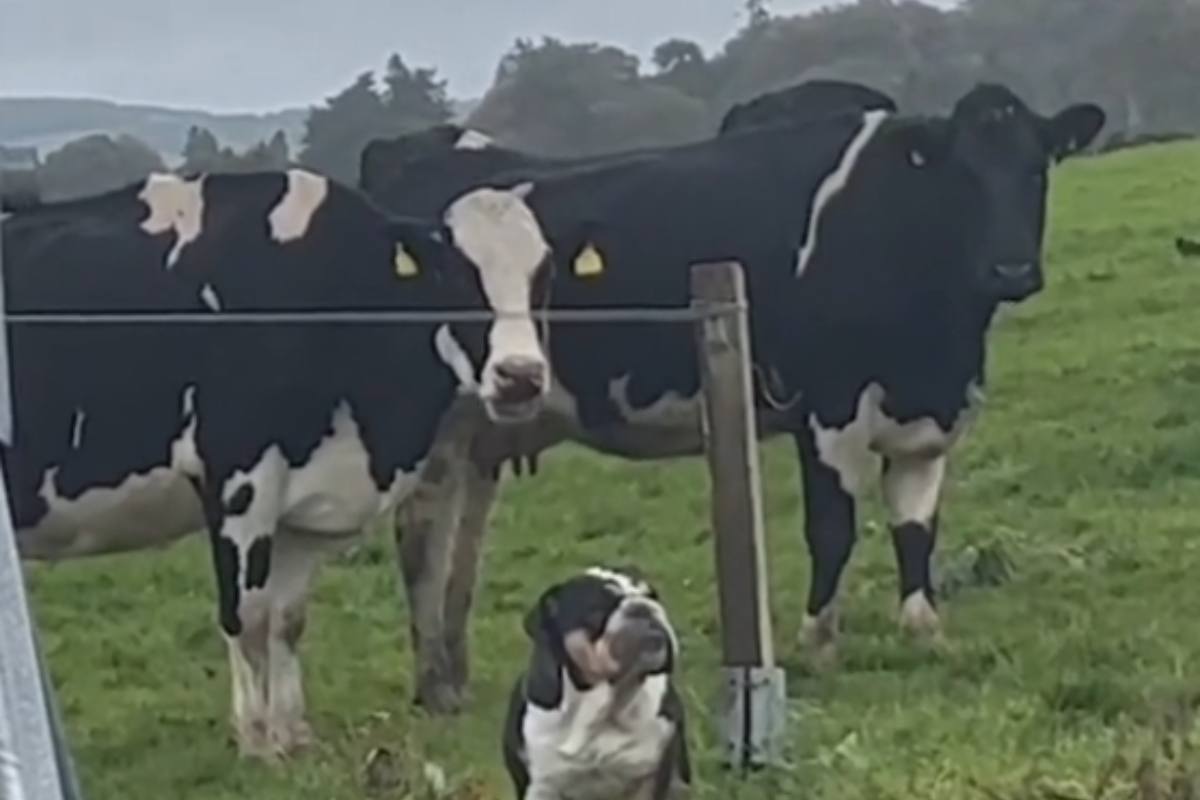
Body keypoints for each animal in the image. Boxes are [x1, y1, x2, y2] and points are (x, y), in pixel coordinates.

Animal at [0, 167, 552, 758]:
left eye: (540, 271)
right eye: (456, 274)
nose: (521, 376)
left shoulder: (305, 504)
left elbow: (287, 619)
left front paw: (293, 735)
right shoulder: (237, 481)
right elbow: (246, 617)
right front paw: (258, 741)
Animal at [362, 82, 1104, 714]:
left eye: (1036, 172)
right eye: (964, 179)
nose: (1012, 269)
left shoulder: (926, 422)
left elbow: (916, 532)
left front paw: (923, 633)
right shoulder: (827, 412)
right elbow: (831, 529)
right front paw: (817, 644)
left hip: (484, 428)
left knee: (463, 537)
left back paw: (455, 672)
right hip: (437, 422)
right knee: (421, 534)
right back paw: (435, 686)